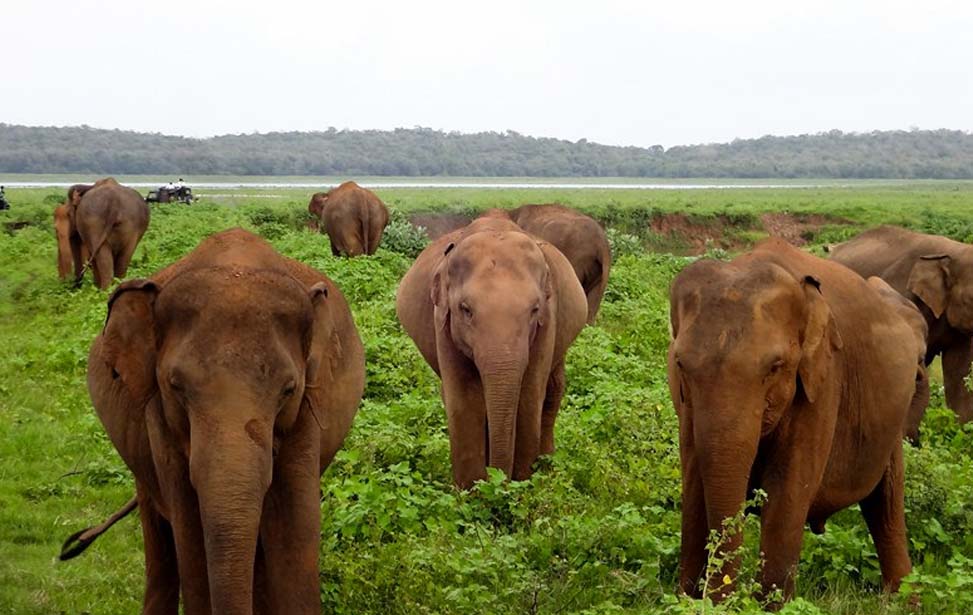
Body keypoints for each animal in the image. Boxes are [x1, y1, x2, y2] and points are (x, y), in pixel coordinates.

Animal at [80, 229, 364, 612]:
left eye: (288, 390)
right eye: (175, 386)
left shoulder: (306, 409)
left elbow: (293, 527)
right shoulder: (160, 418)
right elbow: (190, 533)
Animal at [394, 217, 584, 490]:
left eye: (534, 309)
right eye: (466, 309)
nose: (501, 480)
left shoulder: (549, 321)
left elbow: (529, 397)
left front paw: (521, 489)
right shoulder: (442, 321)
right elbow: (464, 400)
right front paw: (474, 493)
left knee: (552, 390)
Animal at [668, 238, 920, 604]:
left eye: (775, 367)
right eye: (680, 364)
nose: (717, 600)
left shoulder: (823, 381)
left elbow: (787, 492)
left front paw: (768, 606)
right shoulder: (686, 406)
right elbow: (693, 481)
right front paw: (685, 599)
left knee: (886, 503)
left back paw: (903, 601)